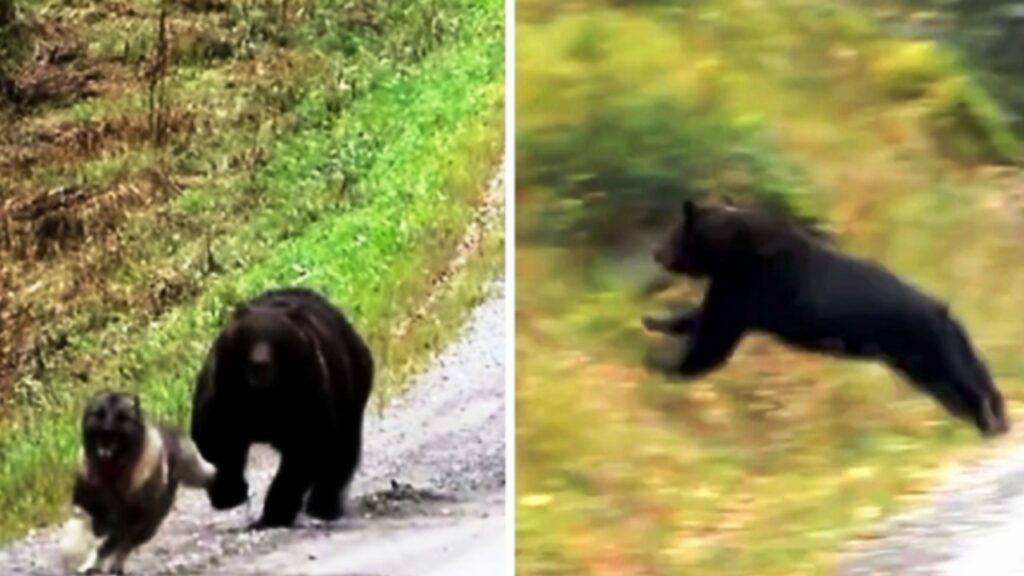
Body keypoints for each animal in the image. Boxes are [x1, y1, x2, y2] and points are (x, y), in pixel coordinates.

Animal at [190, 284, 374, 524]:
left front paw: (275, 512)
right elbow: (218, 438)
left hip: (349, 389)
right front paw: (228, 494)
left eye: (277, 341)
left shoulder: (303, 395)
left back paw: (323, 506)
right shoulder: (227, 394)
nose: (260, 365)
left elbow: (303, 448)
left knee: (340, 451)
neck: (266, 395)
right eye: (249, 338)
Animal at [643, 198, 1011, 434]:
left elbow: (714, 338)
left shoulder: (751, 286)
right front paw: (655, 321)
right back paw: (995, 417)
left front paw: (666, 366)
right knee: (966, 378)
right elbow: (704, 316)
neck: (731, 253)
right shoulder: (734, 288)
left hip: (929, 349)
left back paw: (988, 421)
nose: (656, 253)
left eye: (673, 233)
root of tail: (944, 311)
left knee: (962, 381)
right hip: (924, 359)